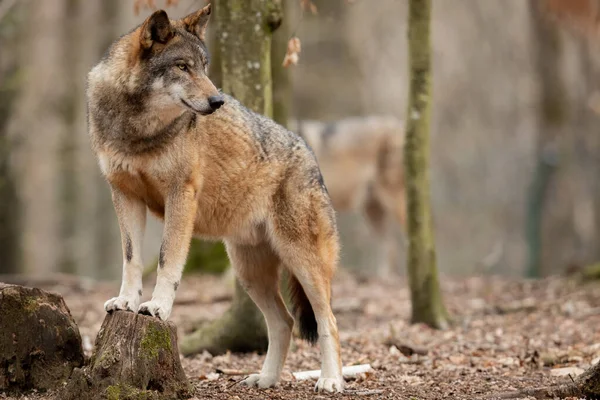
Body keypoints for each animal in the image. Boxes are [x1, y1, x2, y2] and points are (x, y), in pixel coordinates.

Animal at [86, 5, 344, 394]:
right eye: (182, 66)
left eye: (204, 66)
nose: (218, 101)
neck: (138, 130)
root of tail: (311, 155)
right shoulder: (123, 193)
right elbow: (131, 259)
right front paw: (127, 301)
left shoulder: (181, 194)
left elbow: (167, 260)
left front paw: (157, 307)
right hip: (248, 272)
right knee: (283, 322)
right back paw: (266, 379)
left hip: (303, 263)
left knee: (328, 320)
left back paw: (331, 380)